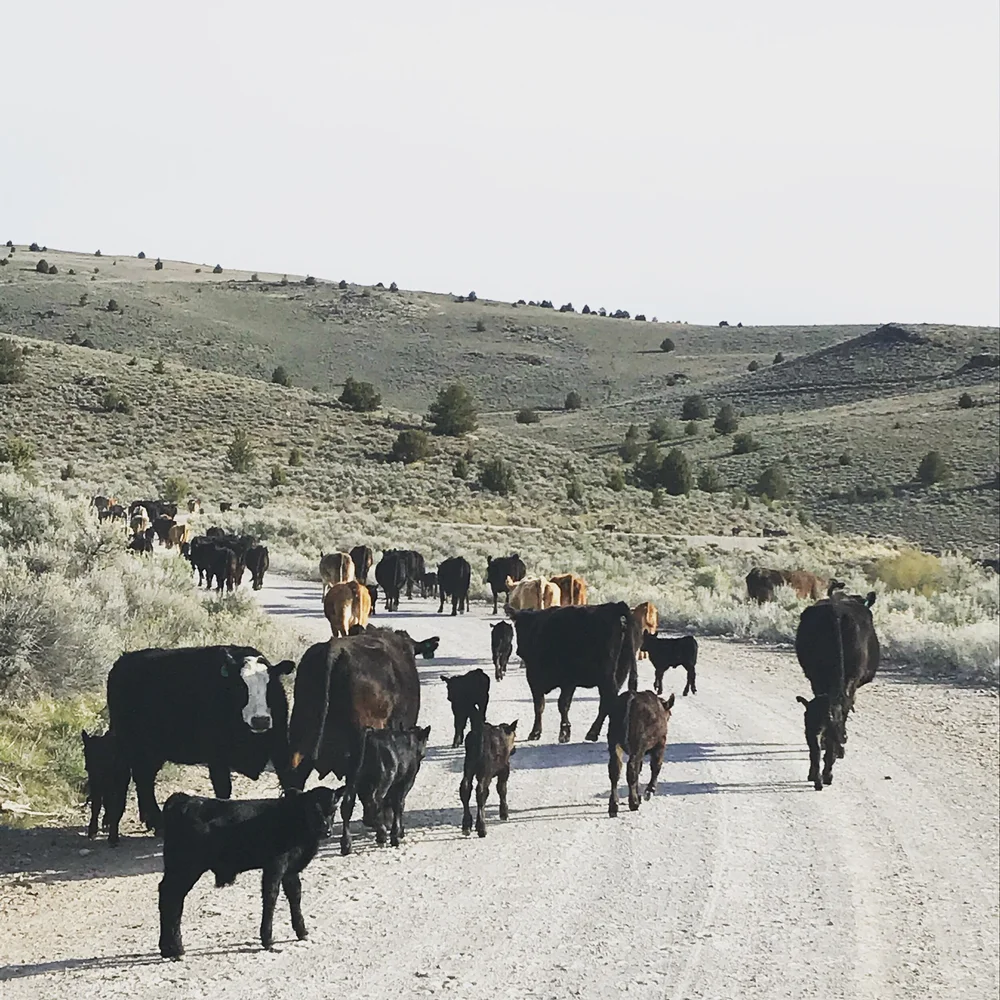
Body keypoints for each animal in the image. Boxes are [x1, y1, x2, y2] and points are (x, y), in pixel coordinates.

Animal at [104, 645, 296, 845]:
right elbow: (223, 790)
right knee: (137, 778)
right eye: (240, 686)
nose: (260, 720)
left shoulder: (280, 747)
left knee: (144, 778)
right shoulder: (217, 756)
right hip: (131, 743)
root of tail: (124, 660)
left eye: (269, 686)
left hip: (152, 750)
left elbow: (289, 781)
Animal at [157, 786, 342, 959]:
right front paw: (268, 940)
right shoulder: (275, 866)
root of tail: (184, 800)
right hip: (186, 867)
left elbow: (295, 895)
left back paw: (167, 949)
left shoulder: (290, 870)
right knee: (172, 898)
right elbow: (271, 897)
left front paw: (302, 932)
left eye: (334, 809)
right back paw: (177, 949)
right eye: (313, 809)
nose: (326, 830)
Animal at [338, 725, 430, 855]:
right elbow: (399, 804)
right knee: (373, 802)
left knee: (347, 805)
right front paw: (397, 834)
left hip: (353, 779)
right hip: (384, 778)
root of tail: (370, 734)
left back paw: (346, 844)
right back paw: (381, 833)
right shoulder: (405, 782)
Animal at [511, 602, 638, 743]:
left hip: (607, 675)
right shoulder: (566, 682)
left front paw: (543, 732)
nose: (519, 650)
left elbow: (548, 705)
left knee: (608, 699)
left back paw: (594, 732)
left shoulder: (540, 678)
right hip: (620, 671)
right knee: (606, 701)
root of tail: (615, 606)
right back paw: (593, 733)